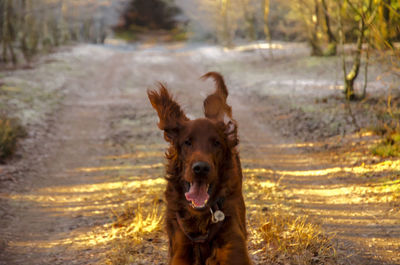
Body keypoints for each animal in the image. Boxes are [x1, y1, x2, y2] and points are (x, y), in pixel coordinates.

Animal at [148, 72, 252, 264]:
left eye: (216, 143)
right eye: (187, 142)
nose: (201, 168)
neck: (201, 217)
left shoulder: (233, 246)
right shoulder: (181, 249)